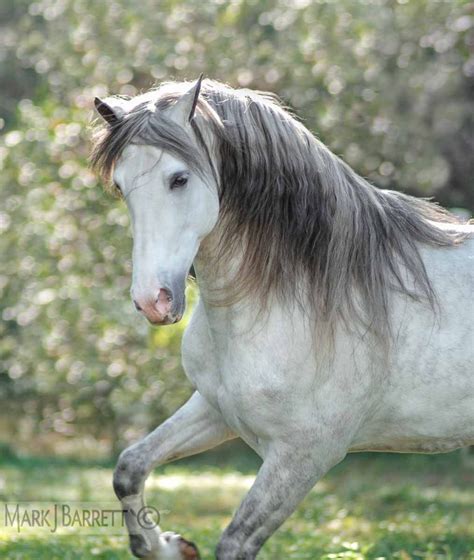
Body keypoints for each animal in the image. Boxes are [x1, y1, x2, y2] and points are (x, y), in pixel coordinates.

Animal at [90, 75, 472, 560]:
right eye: (121, 187)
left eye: (179, 178)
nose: (151, 301)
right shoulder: (215, 409)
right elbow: (129, 467)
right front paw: (169, 546)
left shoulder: (303, 455)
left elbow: (234, 543)